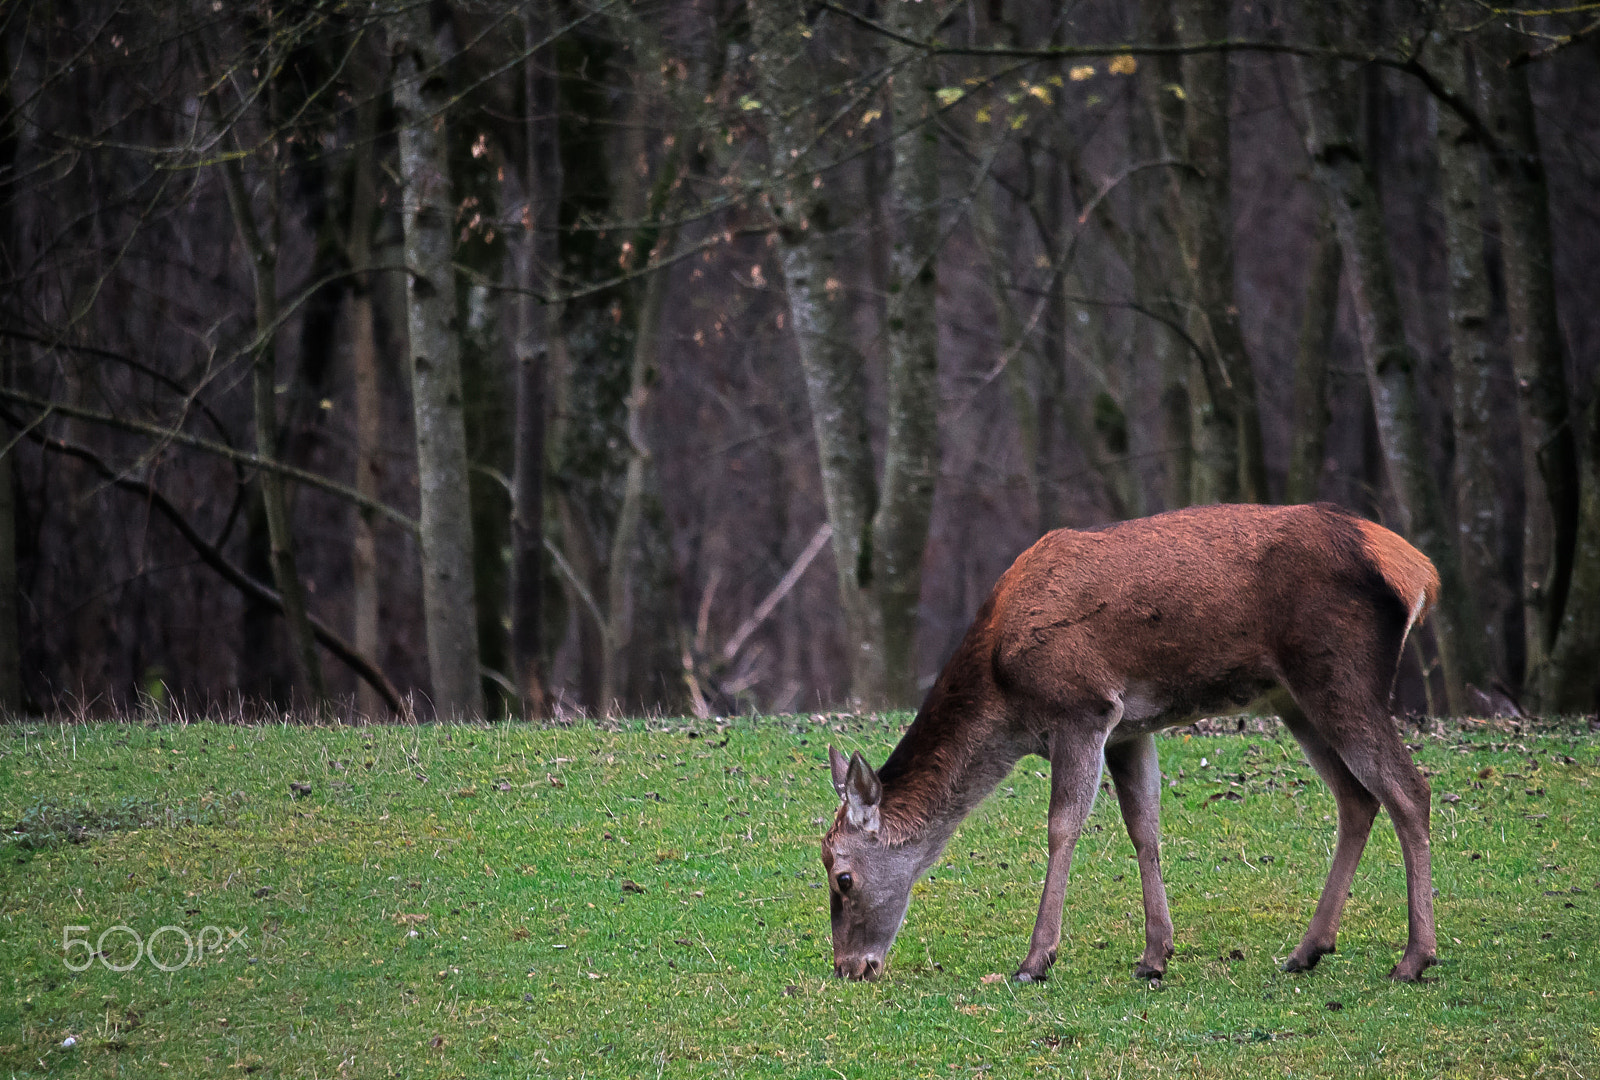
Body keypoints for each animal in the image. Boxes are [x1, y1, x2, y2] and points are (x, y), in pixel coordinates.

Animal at [822, 503, 1441, 985]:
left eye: (841, 877)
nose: (849, 967)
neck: (1004, 696)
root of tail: (1419, 573)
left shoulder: (1082, 708)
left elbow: (1063, 826)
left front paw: (1035, 960)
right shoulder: (1129, 729)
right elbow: (1144, 826)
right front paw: (1155, 955)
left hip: (1342, 675)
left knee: (1409, 790)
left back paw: (1414, 958)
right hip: (1296, 700)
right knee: (1357, 799)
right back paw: (1307, 950)